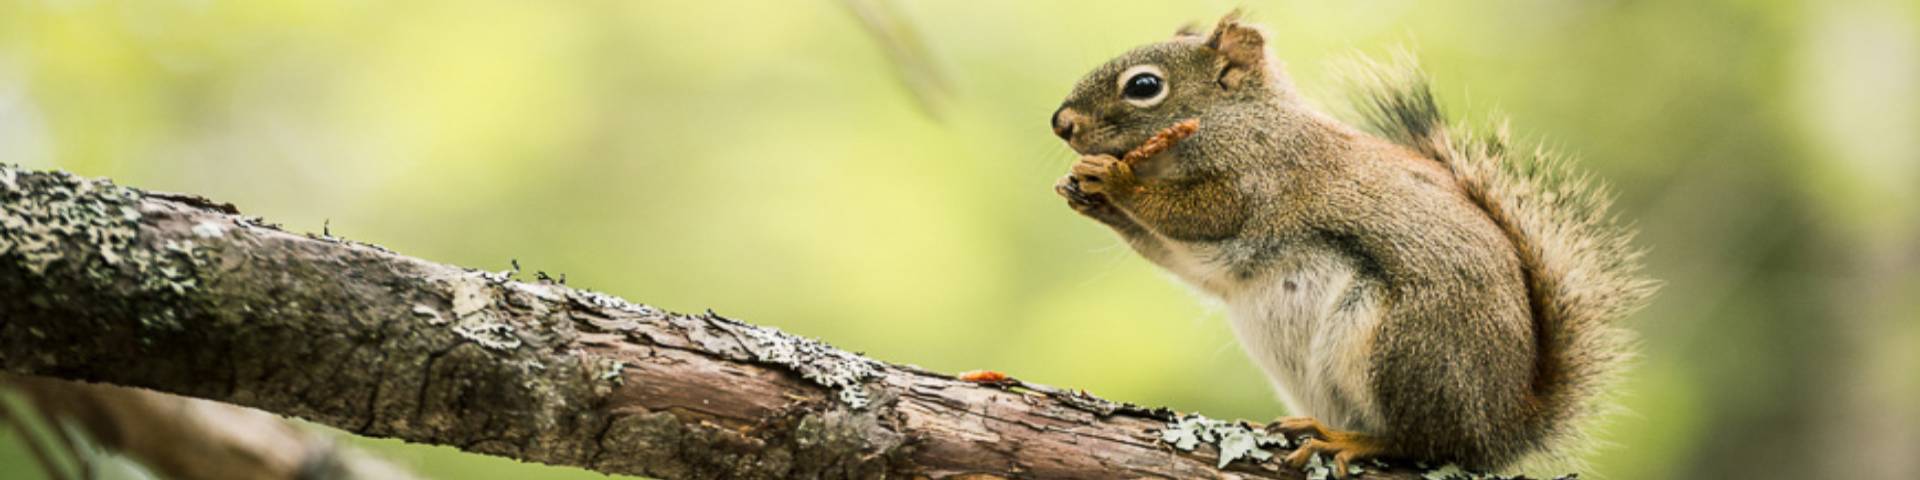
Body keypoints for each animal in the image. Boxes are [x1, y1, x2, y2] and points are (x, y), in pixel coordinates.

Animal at [1052, 12, 1651, 476]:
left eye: (1144, 86)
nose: (1061, 123)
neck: (1242, 118)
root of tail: (1500, 430)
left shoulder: (1262, 180)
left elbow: (1197, 213)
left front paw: (1116, 183)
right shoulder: (1209, 258)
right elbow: (1177, 256)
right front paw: (1087, 195)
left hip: (1402, 349)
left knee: (1424, 442)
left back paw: (1350, 440)